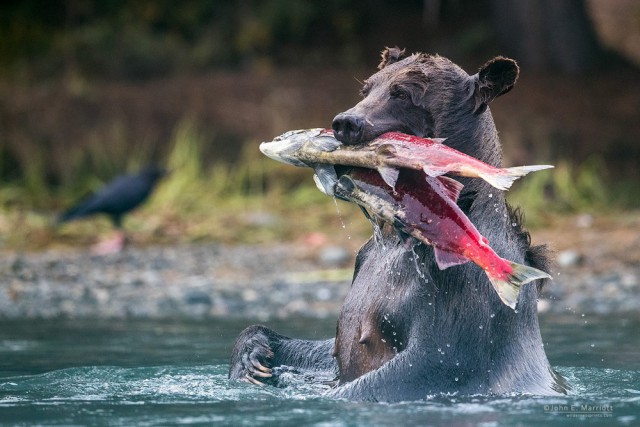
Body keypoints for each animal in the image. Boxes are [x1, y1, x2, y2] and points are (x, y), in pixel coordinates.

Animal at [229, 48, 564, 402]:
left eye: (403, 93)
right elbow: (329, 349)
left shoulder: (461, 289)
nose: (346, 123)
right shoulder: (366, 260)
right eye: (366, 88)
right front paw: (253, 357)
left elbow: (430, 361)